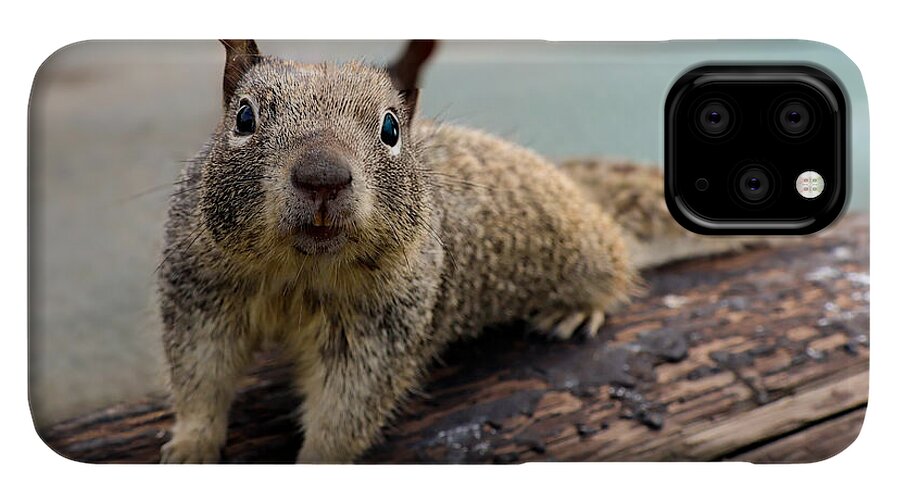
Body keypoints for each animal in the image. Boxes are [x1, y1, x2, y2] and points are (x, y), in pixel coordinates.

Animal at [159, 40, 752, 463]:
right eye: (244, 118)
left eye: (391, 128)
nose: (322, 177)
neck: (301, 272)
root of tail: (577, 188)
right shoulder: (202, 290)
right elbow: (200, 374)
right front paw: (190, 446)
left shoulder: (383, 328)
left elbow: (346, 408)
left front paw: (315, 462)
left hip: (586, 248)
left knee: (616, 264)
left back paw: (577, 308)